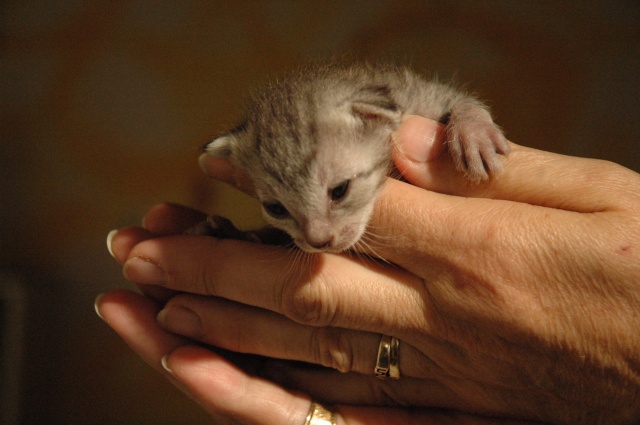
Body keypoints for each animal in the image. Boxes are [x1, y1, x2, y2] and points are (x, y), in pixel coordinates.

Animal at [195, 63, 510, 252]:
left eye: (340, 190)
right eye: (276, 209)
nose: (319, 242)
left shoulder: (425, 98)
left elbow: (457, 99)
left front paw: (472, 130)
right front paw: (233, 232)